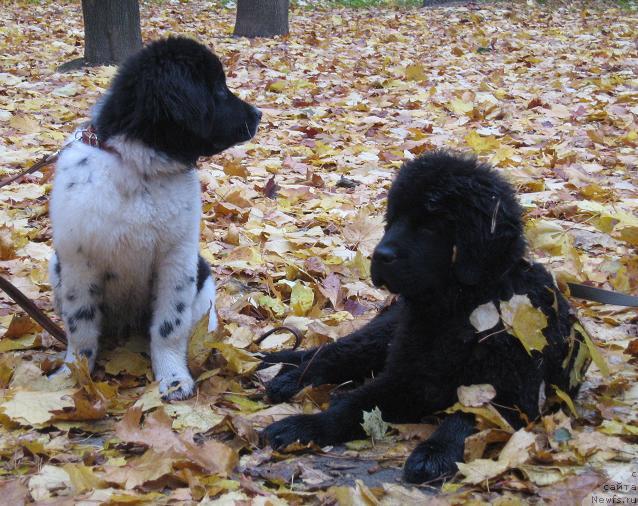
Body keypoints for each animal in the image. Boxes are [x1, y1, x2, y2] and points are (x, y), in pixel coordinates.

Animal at [48, 36, 262, 400]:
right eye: (219, 89)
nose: (259, 114)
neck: (140, 168)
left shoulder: (177, 258)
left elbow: (168, 327)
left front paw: (173, 377)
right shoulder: (79, 261)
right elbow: (81, 328)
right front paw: (73, 376)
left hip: (201, 272)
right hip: (56, 268)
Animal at [260, 151, 592, 482]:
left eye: (431, 225)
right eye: (393, 219)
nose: (379, 256)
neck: (459, 312)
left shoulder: (514, 394)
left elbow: (469, 420)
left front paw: (436, 451)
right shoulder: (406, 379)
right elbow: (353, 407)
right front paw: (304, 427)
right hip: (382, 336)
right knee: (332, 353)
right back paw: (290, 377)